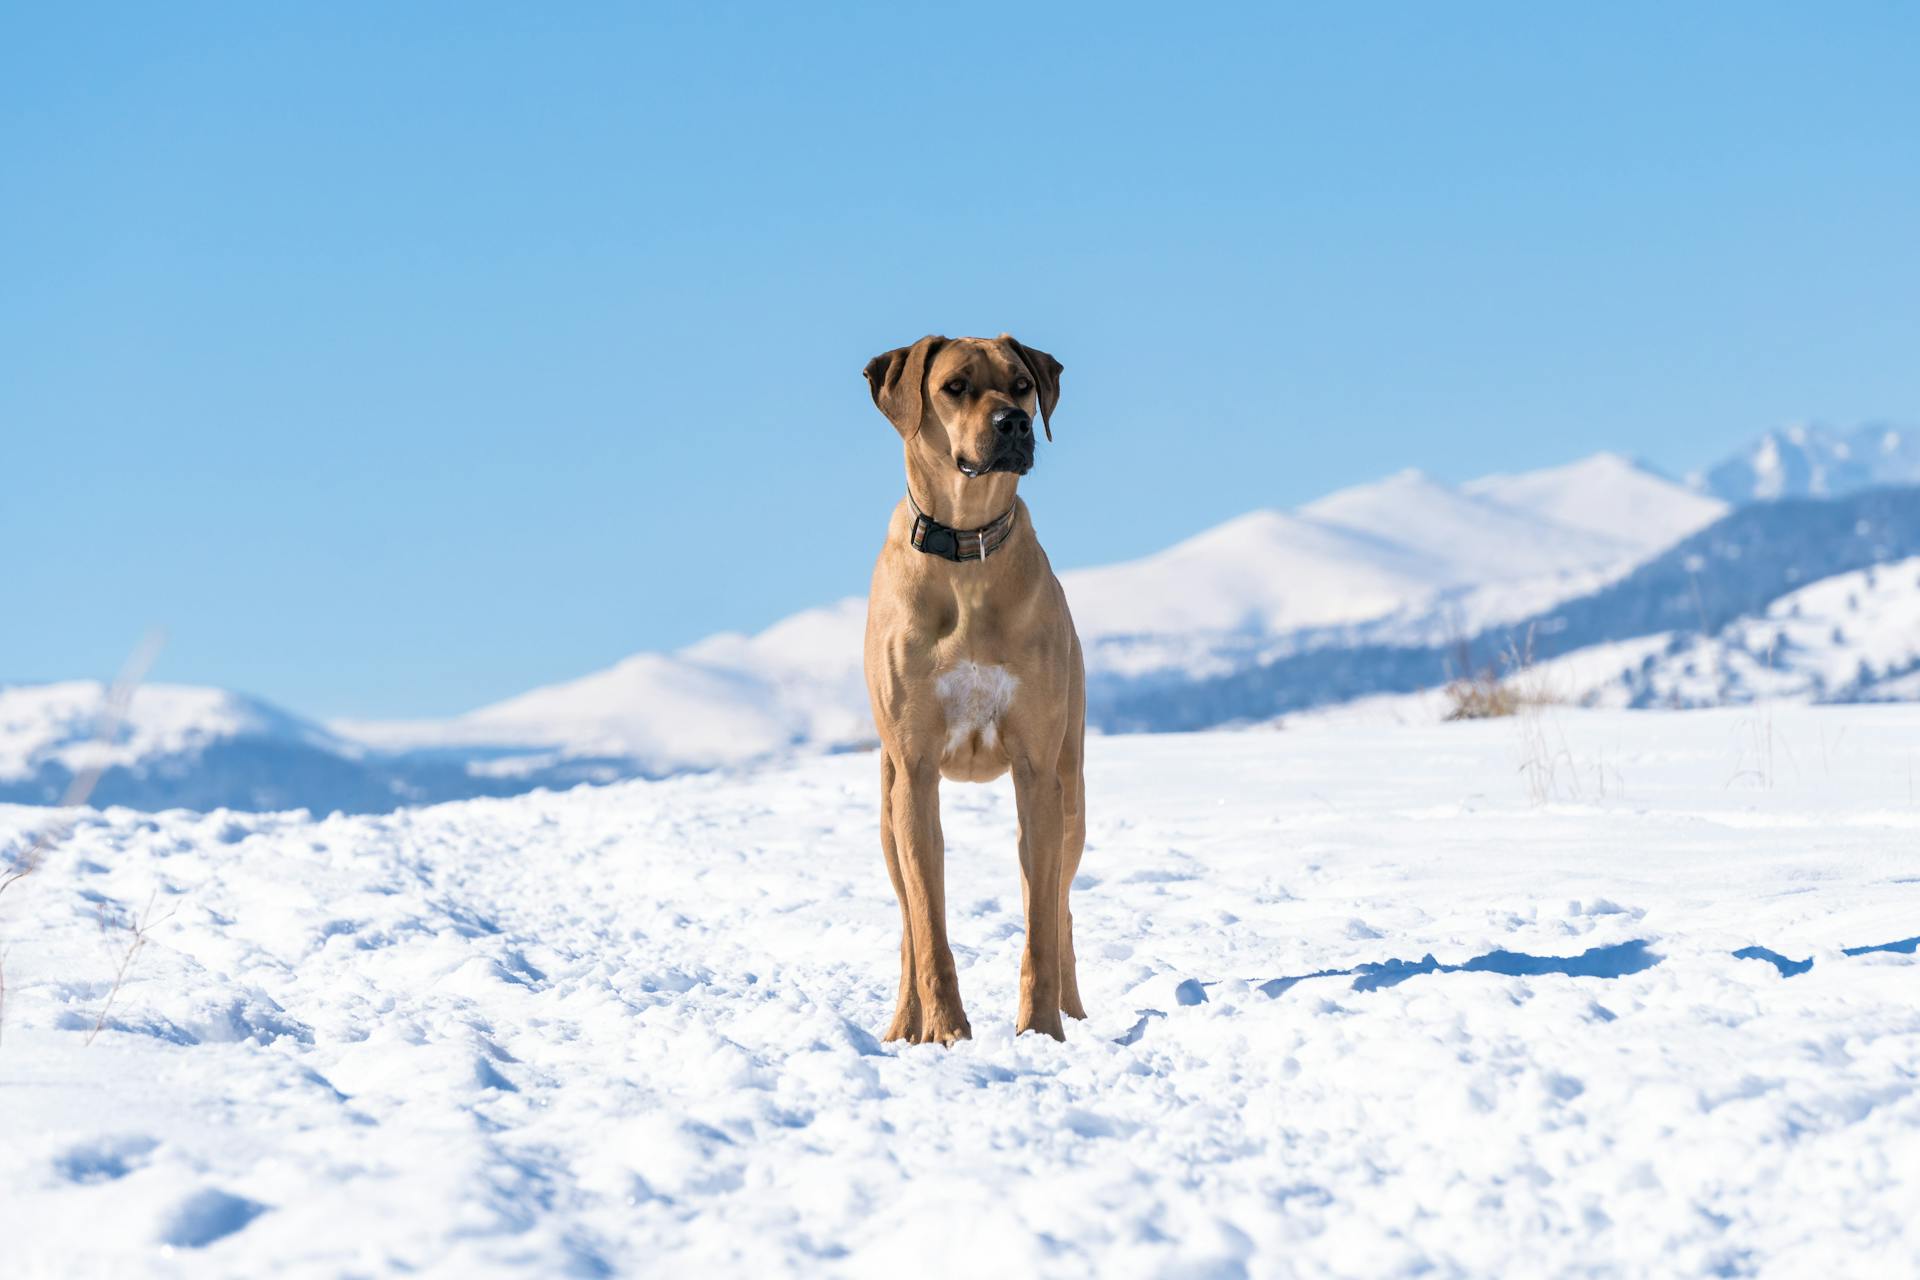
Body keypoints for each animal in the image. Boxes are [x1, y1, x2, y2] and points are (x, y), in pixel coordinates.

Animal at [864, 335, 1090, 1043]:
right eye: (955, 387)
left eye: (1021, 385)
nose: (1013, 424)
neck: (966, 549)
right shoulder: (913, 772)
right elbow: (928, 927)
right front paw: (944, 1030)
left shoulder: (1037, 770)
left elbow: (1040, 925)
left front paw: (1041, 1030)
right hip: (887, 809)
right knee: (908, 920)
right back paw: (903, 1024)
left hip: (1071, 789)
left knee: (1059, 903)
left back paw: (1073, 1011)